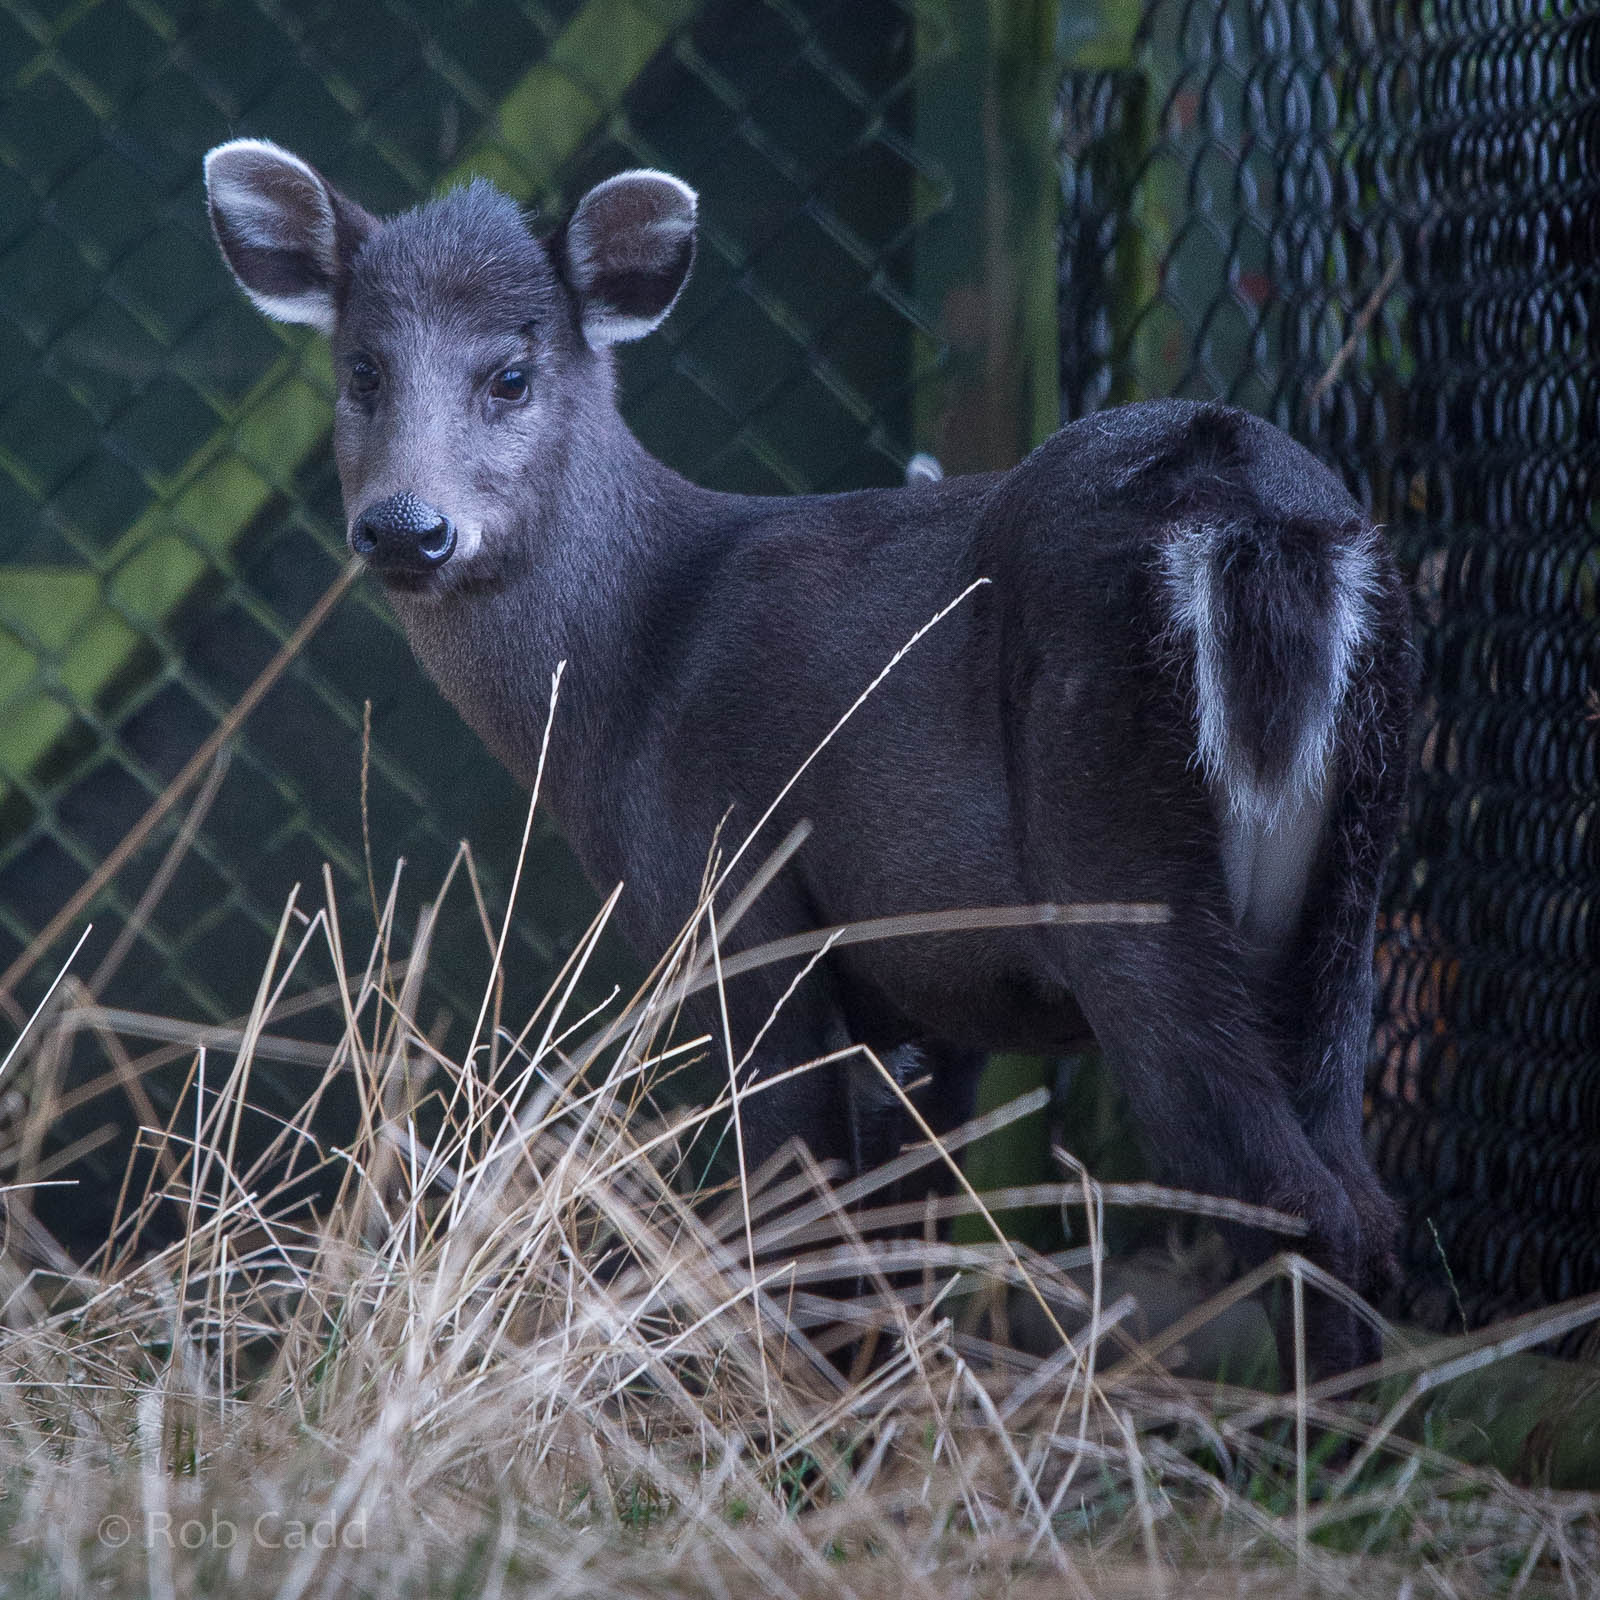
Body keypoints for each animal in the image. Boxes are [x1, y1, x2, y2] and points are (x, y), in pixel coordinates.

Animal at [204, 139, 1415, 1375]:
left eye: (509, 374)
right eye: (361, 370)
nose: (407, 527)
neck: (633, 667)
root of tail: (1249, 518)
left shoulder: (734, 900)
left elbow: (796, 1220)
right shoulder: (929, 995)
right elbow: (896, 1240)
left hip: (1121, 865)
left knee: (1289, 1199)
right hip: (1342, 905)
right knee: (1362, 1202)